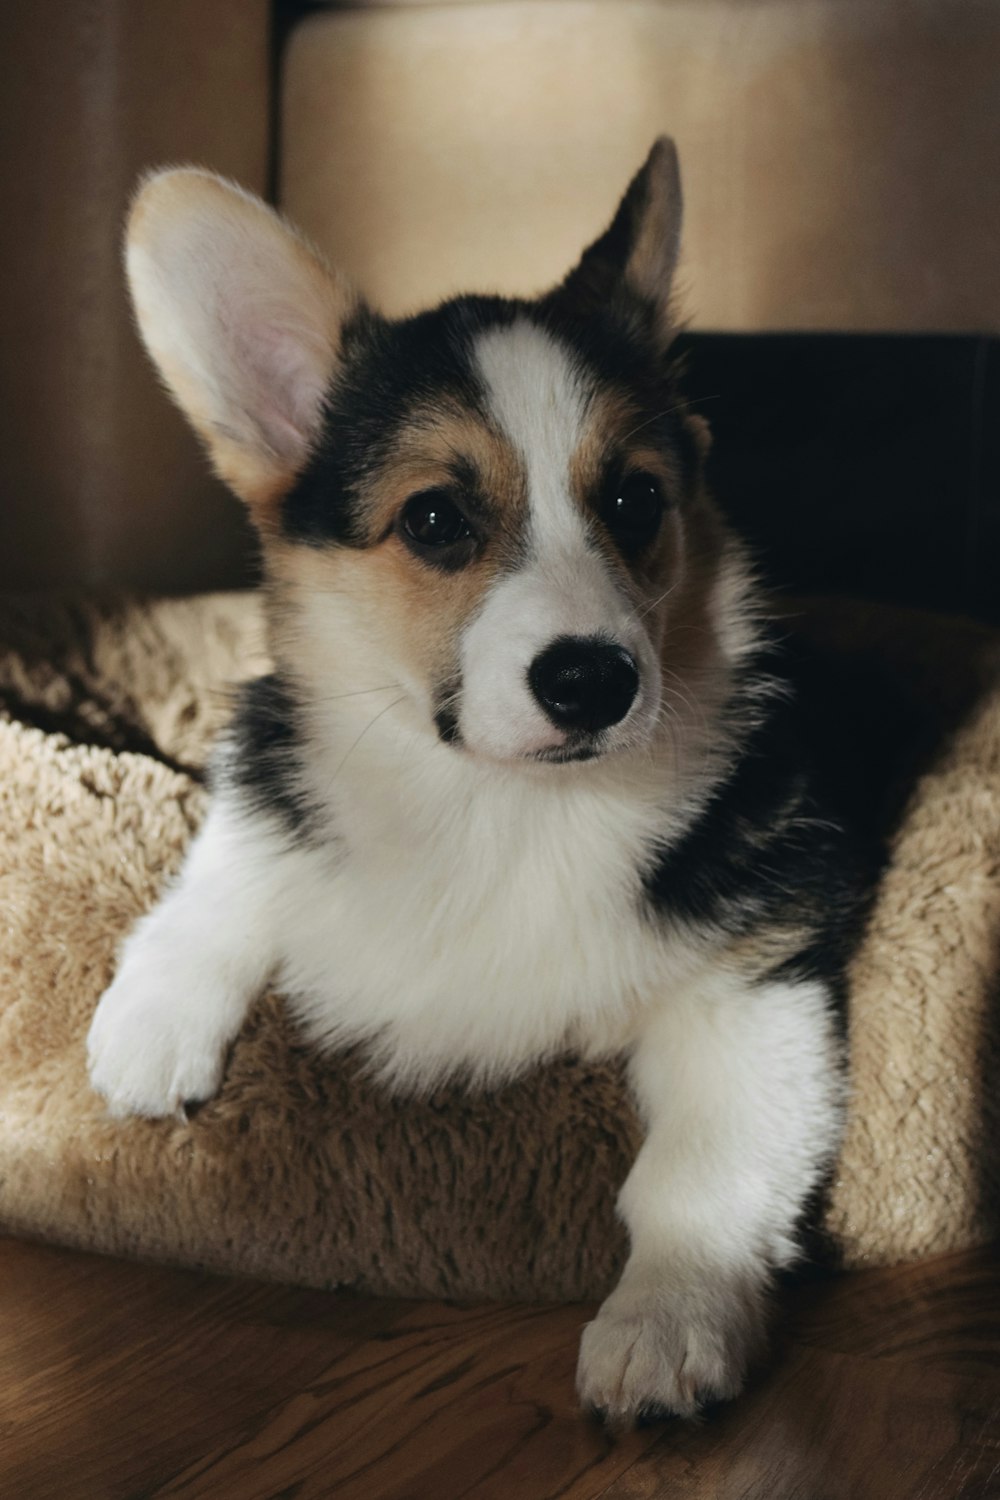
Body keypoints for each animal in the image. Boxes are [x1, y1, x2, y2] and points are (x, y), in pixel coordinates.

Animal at [88, 143, 875, 1428]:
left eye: (635, 499)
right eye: (435, 518)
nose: (594, 681)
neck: (499, 803)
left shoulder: (753, 982)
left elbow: (698, 1174)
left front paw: (665, 1323)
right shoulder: (271, 754)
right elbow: (238, 856)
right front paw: (150, 1020)